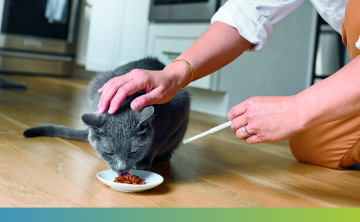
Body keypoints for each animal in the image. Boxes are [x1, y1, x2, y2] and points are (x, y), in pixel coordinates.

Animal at [23, 57, 190, 173]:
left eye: (133, 151)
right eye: (108, 152)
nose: (122, 168)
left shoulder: (176, 115)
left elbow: (157, 143)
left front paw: (143, 162)